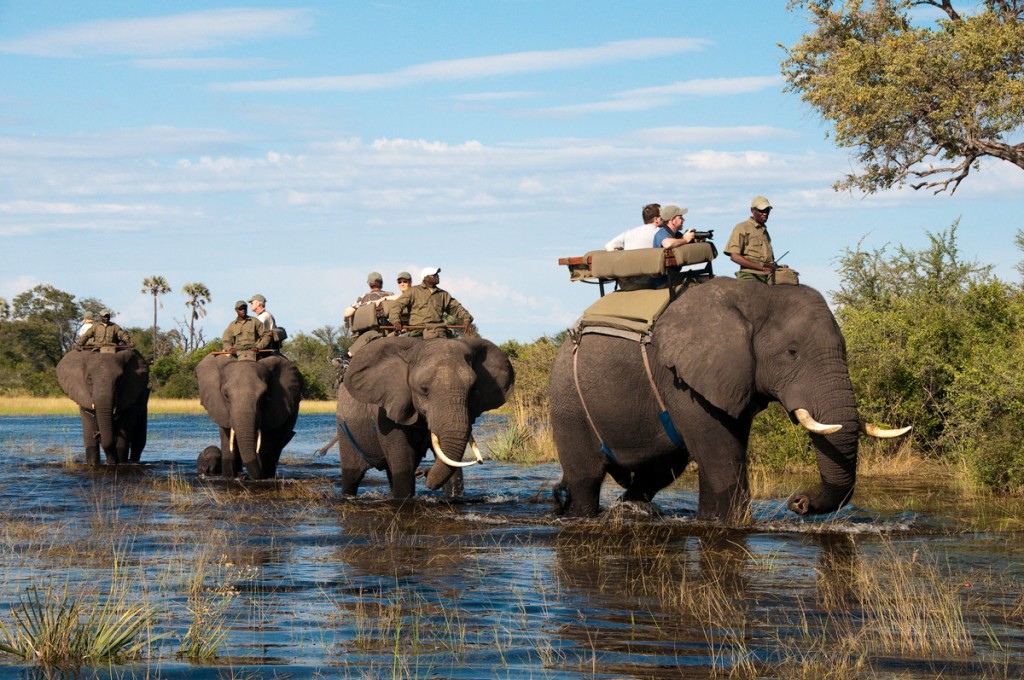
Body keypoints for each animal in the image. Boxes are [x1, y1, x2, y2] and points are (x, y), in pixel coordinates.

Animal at [193, 352, 301, 481]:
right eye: (226, 395)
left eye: (264, 396)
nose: (244, 476)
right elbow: (227, 439)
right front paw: (230, 477)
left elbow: (266, 443)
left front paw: (262, 476)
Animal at [333, 337, 512, 497]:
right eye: (424, 390)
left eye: (473, 389)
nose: (422, 473)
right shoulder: (385, 413)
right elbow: (404, 466)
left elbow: (450, 465)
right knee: (352, 476)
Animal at [548, 278, 909, 522]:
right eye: (792, 353)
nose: (798, 502)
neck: (757, 295)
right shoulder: (683, 381)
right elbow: (722, 464)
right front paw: (727, 524)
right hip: (567, 401)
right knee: (586, 477)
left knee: (659, 473)